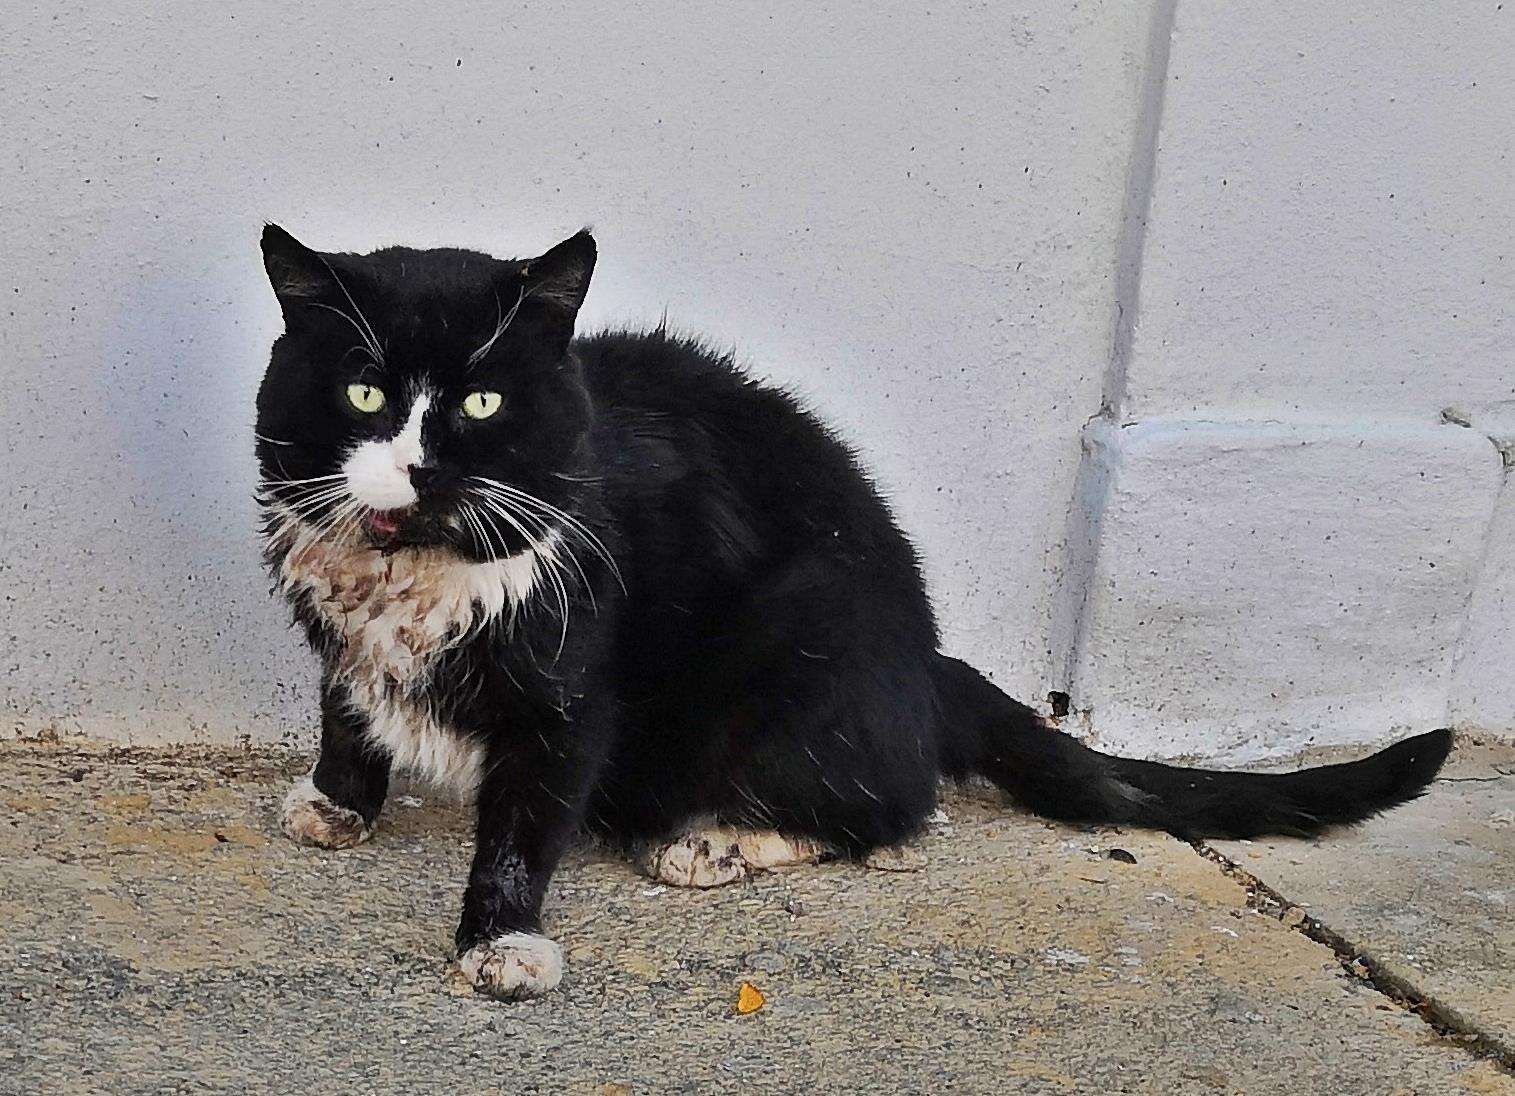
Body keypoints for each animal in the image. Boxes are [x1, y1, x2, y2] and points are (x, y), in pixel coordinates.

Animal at [254, 224, 1448, 1000]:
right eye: (363, 391)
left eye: (484, 400)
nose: (419, 468)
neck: (415, 568)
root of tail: (928, 660)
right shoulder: (338, 629)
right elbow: (344, 705)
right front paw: (339, 801)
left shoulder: (573, 683)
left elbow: (522, 821)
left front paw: (501, 943)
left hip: (799, 644)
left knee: (891, 809)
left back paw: (714, 843)